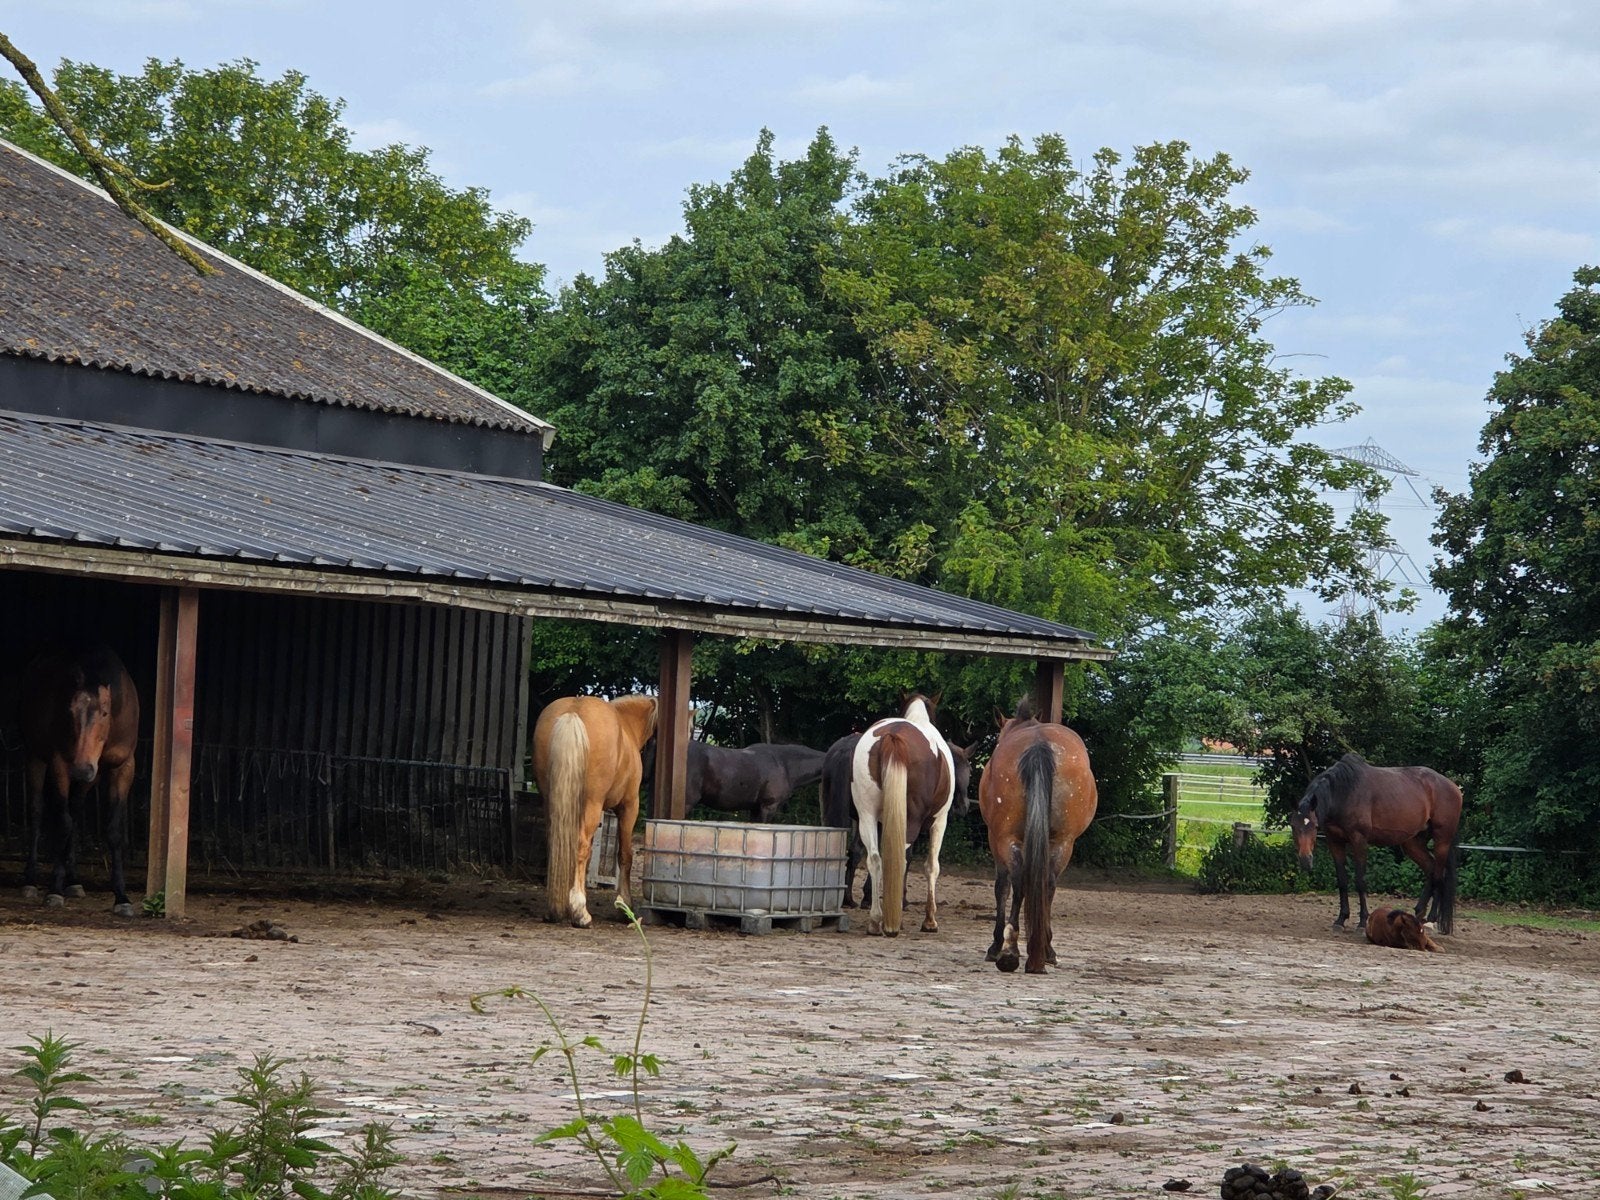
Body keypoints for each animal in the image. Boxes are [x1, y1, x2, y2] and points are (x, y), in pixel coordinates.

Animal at [19, 646, 141, 916]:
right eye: (70, 711)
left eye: (104, 713)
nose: (82, 769)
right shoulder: (59, 765)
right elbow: (63, 824)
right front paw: (54, 890)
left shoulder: (123, 768)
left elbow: (113, 831)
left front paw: (122, 897)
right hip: (35, 757)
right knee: (37, 811)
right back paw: (31, 881)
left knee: (75, 811)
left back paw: (73, 881)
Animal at [533, 694, 658, 928]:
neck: (627, 726)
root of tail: (574, 712)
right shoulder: (629, 807)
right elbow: (625, 855)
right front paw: (624, 906)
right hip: (592, 803)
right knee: (580, 846)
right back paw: (580, 913)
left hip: (551, 801)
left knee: (557, 843)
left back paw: (556, 909)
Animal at [848, 693, 962, 936]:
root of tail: (893, 735)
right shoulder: (939, 822)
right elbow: (931, 866)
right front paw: (929, 921)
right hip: (913, 820)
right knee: (901, 858)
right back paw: (894, 922)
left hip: (867, 815)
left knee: (875, 858)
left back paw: (876, 920)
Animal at [979, 707, 1098, 973]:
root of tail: (1038, 744)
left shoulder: (995, 839)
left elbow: (1002, 887)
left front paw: (995, 945)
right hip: (1063, 843)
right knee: (1049, 883)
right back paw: (1044, 950)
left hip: (1006, 838)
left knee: (1018, 881)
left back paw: (1009, 951)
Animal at [1289, 752, 1463, 935]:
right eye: (1293, 825)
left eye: (1315, 826)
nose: (1305, 860)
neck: (1344, 792)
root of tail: (1455, 788)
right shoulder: (1334, 841)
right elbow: (1342, 880)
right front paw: (1341, 920)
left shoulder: (1359, 840)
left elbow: (1360, 881)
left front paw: (1362, 922)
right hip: (1412, 843)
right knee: (1430, 869)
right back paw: (1418, 915)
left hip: (1442, 840)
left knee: (1438, 875)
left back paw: (1430, 920)